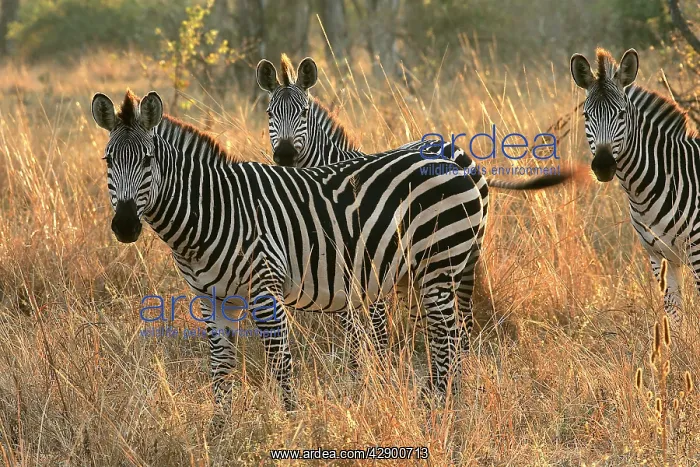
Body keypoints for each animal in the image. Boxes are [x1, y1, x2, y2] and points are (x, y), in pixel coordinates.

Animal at [93, 89, 496, 410]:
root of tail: (450, 159)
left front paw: (291, 420)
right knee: (450, 333)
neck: (214, 209)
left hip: (438, 261)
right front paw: (219, 431)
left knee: (446, 336)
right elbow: (220, 369)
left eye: (148, 160)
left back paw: (437, 406)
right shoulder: (212, 299)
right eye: (108, 161)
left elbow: (280, 363)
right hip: (427, 270)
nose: (125, 226)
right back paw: (446, 400)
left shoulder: (265, 289)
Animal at [256, 54, 574, 356]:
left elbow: (373, 328)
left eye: (304, 113)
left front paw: (378, 365)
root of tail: (458, 153)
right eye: (270, 114)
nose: (284, 155)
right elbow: (353, 329)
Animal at [571, 47, 700, 326]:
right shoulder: (660, 256)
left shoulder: (698, 252)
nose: (603, 166)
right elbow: (674, 315)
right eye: (586, 116)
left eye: (621, 114)